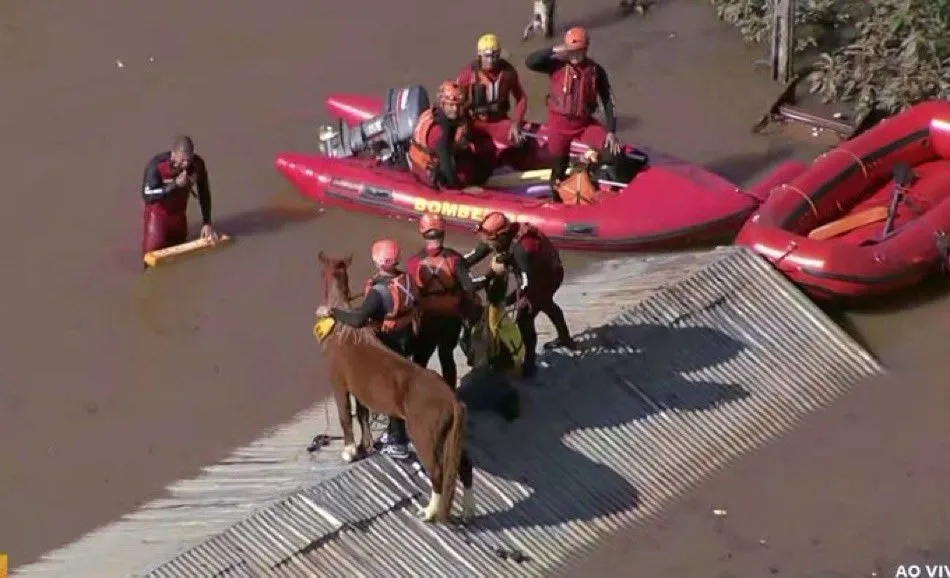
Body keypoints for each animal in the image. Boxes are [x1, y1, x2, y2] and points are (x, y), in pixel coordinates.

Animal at [314, 250, 474, 520]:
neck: (343, 331)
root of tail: (452, 399)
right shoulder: (360, 391)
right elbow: (363, 416)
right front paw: (365, 445)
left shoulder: (339, 385)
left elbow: (346, 417)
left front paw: (349, 450)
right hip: (451, 438)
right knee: (464, 465)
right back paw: (467, 510)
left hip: (425, 437)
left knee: (438, 473)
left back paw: (430, 512)